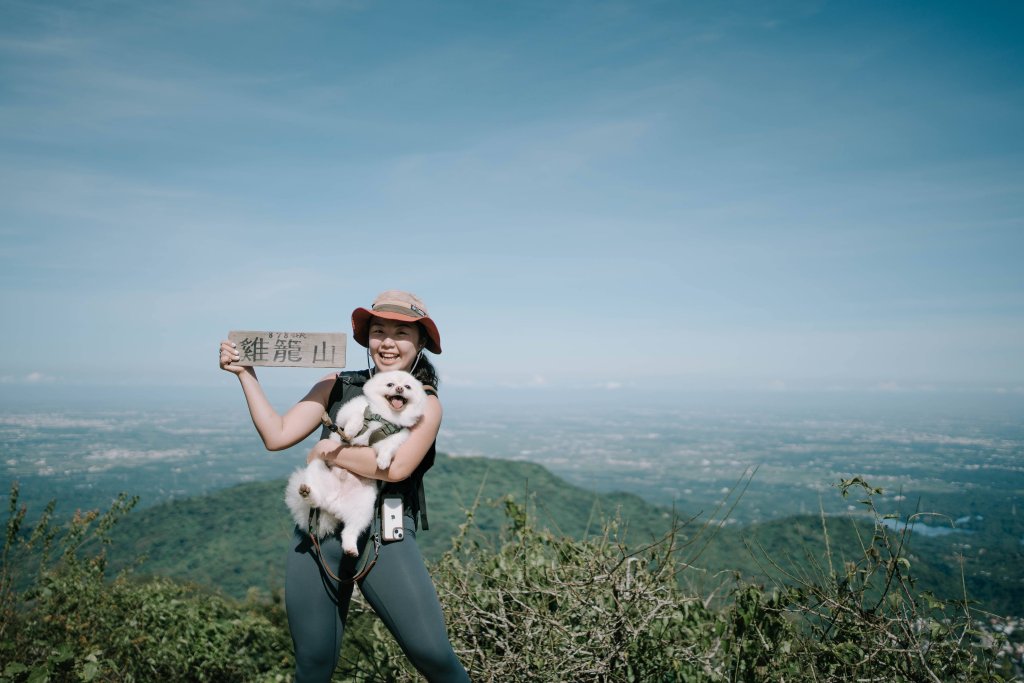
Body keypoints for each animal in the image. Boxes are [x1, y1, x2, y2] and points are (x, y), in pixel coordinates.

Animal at [284, 368, 428, 557]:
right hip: (317, 468)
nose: (399, 389)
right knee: (316, 499)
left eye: (407, 387)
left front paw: (383, 461)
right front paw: (351, 432)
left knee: (350, 530)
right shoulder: (351, 411)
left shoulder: (396, 436)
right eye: (390, 384)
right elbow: (355, 419)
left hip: (363, 509)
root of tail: (333, 505)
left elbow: (388, 447)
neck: (384, 416)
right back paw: (308, 493)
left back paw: (351, 548)